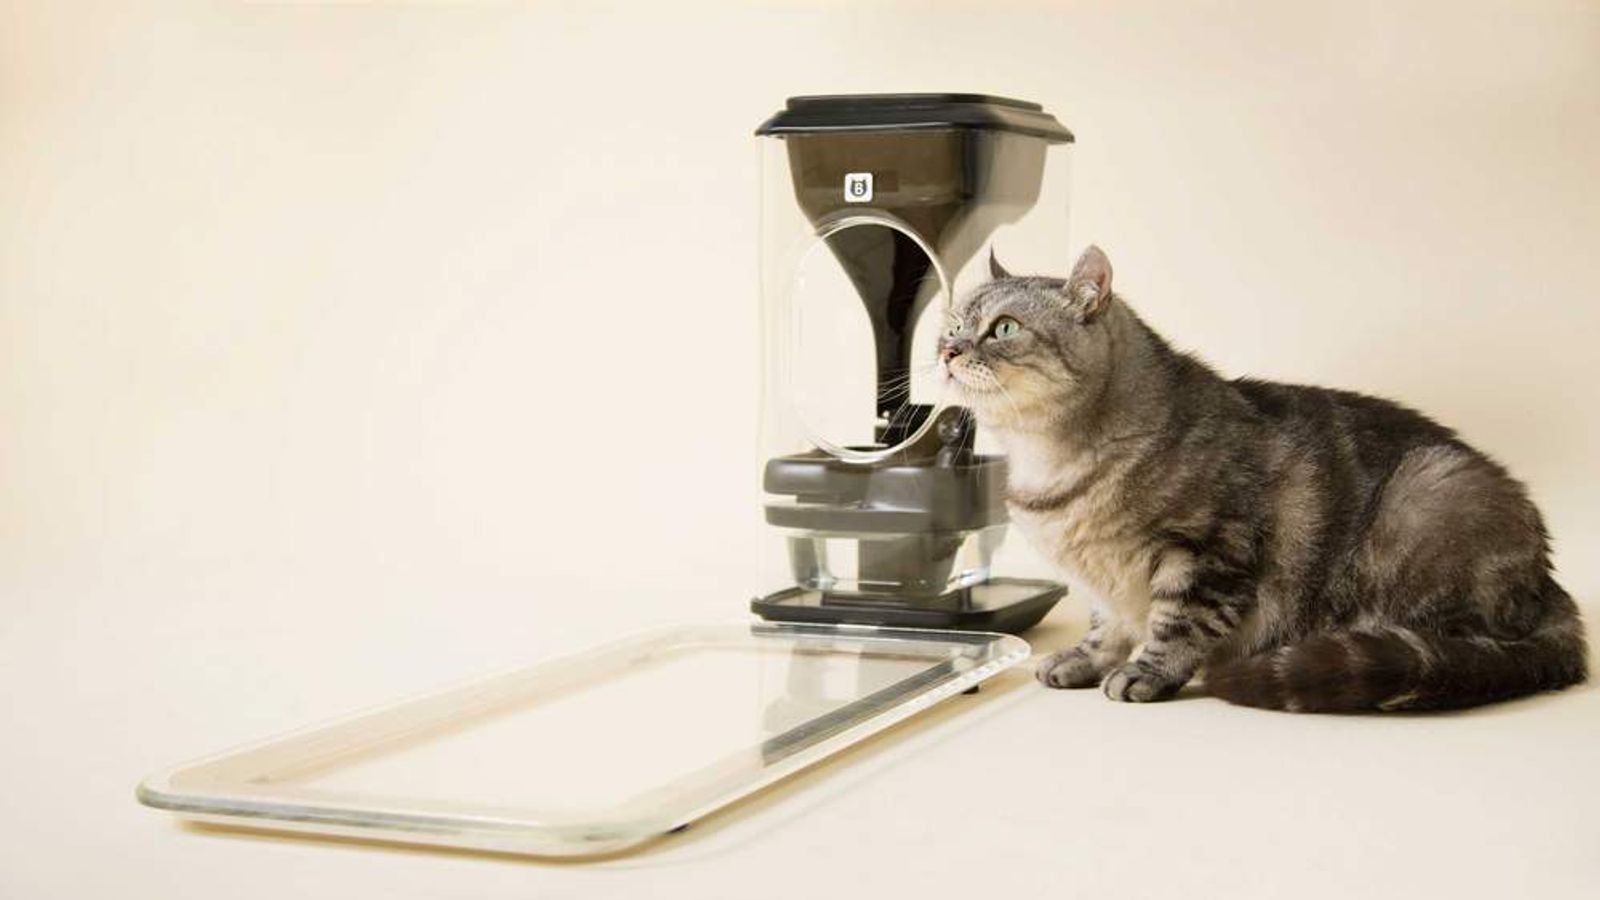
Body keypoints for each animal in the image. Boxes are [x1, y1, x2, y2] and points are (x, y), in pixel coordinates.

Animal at [934, 243, 1587, 707]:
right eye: (952, 325)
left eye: (1004, 328)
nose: (946, 350)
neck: (1047, 464)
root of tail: (1547, 581)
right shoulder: (1103, 579)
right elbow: (1107, 622)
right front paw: (1087, 659)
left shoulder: (1210, 551)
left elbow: (1177, 622)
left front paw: (1146, 671)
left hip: (1427, 498)